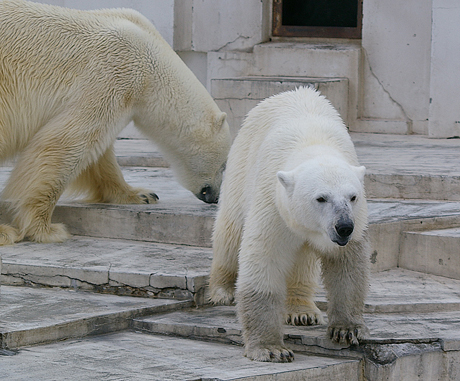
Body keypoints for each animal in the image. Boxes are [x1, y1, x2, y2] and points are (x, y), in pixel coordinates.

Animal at [0, 0, 230, 245]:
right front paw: (46, 229)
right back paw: (5, 232)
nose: (215, 197)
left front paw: (141, 195)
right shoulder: (114, 75)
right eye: (224, 164)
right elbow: (67, 143)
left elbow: (99, 156)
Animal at [210, 87, 372, 362]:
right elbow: (264, 260)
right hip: (240, 164)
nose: (343, 227)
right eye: (321, 198)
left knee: (302, 261)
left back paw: (301, 311)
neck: (313, 143)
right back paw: (221, 290)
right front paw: (271, 348)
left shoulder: (357, 217)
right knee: (229, 231)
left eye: (353, 197)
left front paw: (346, 329)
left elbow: (347, 265)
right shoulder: (273, 203)